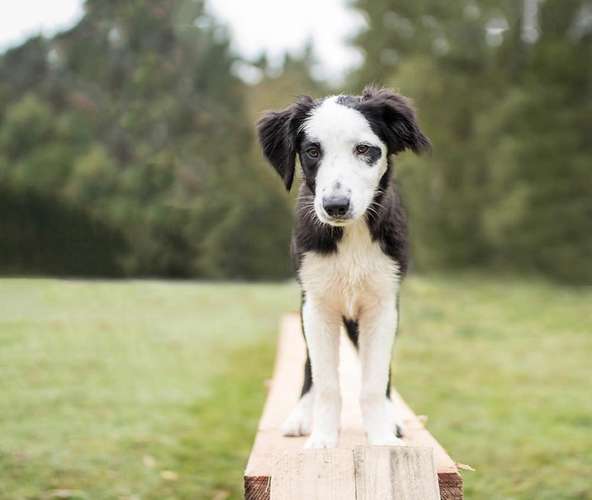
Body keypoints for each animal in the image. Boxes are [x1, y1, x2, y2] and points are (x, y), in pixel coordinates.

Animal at [256, 86, 428, 450]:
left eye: (363, 149)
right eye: (312, 151)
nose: (335, 206)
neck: (352, 234)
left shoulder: (383, 305)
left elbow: (375, 382)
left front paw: (382, 440)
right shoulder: (317, 305)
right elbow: (326, 383)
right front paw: (322, 440)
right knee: (310, 367)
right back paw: (300, 416)